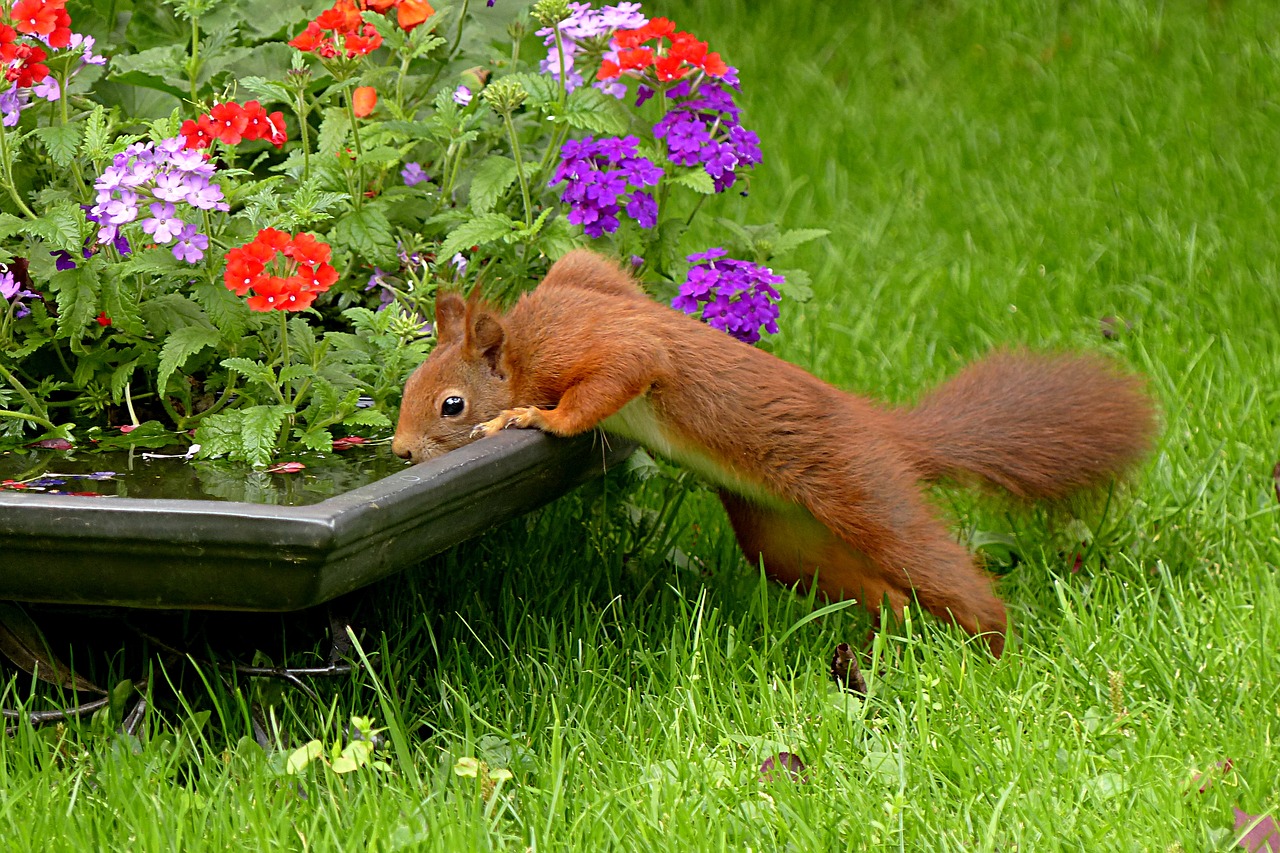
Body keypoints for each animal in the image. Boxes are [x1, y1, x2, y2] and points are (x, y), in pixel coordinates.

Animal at [391, 249, 1162, 653]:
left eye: (451, 404)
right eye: (407, 385)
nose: (398, 451)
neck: (523, 345)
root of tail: (885, 433)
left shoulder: (593, 346)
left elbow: (621, 370)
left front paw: (532, 417)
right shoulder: (587, 276)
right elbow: (599, 266)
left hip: (863, 491)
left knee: (936, 570)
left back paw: (992, 652)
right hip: (785, 541)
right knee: (875, 589)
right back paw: (901, 643)